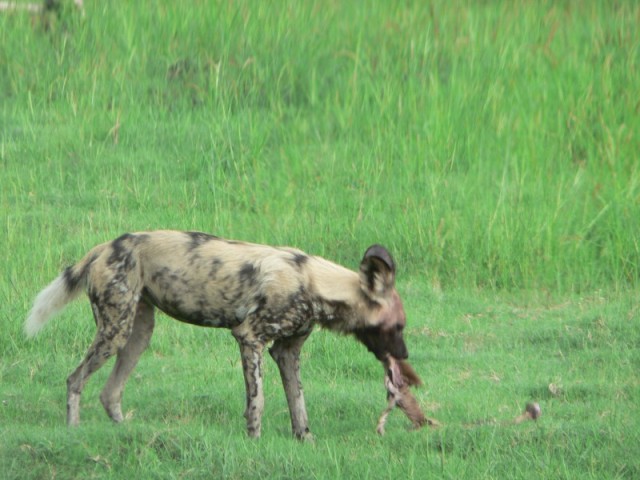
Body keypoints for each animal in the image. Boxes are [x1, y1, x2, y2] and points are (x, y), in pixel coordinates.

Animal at [25, 231, 410, 440]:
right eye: (398, 327)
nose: (405, 356)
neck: (313, 282)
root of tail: (107, 245)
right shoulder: (249, 338)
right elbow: (258, 402)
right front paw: (254, 441)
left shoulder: (287, 352)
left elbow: (299, 406)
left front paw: (306, 443)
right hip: (114, 331)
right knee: (75, 379)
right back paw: (73, 432)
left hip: (137, 335)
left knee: (109, 393)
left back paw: (123, 432)